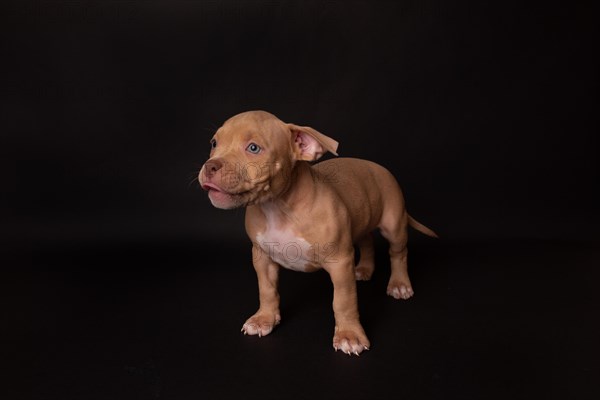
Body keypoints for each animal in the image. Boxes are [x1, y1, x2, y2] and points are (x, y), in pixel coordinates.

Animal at [199, 110, 438, 356]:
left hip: (394, 223)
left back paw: (399, 284)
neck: (278, 207)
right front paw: (264, 319)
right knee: (367, 240)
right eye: (214, 143)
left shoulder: (340, 262)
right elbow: (266, 290)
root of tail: (378, 167)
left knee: (398, 253)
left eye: (253, 148)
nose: (210, 166)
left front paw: (349, 335)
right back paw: (364, 268)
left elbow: (344, 301)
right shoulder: (261, 257)